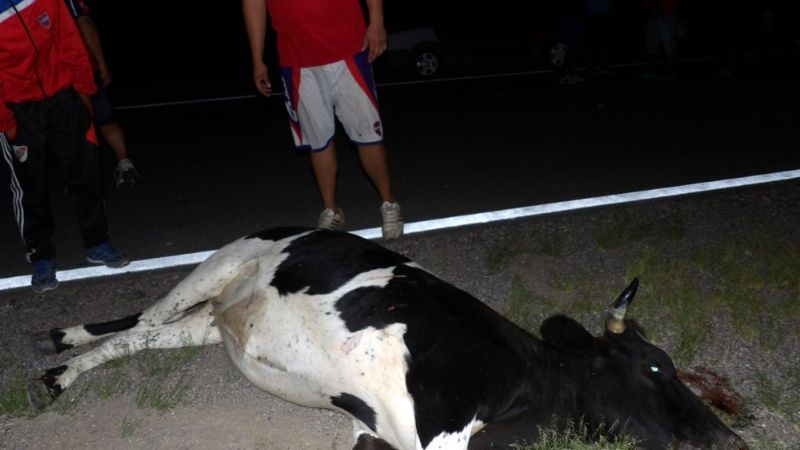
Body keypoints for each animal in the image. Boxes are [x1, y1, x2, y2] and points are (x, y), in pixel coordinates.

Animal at [28, 228, 746, 449]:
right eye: (655, 369)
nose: (732, 439)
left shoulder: (373, 432)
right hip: (218, 264)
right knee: (141, 322)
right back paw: (60, 352)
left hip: (209, 321)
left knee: (141, 339)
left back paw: (63, 359)